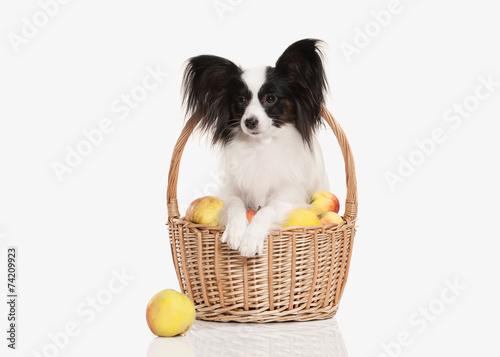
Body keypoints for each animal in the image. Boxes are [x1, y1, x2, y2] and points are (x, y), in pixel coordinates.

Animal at [182, 38, 330, 256]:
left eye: (270, 98)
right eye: (241, 100)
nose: (250, 122)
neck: (260, 145)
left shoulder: (290, 198)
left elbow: (267, 210)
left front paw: (251, 238)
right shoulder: (230, 191)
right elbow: (235, 204)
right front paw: (236, 231)